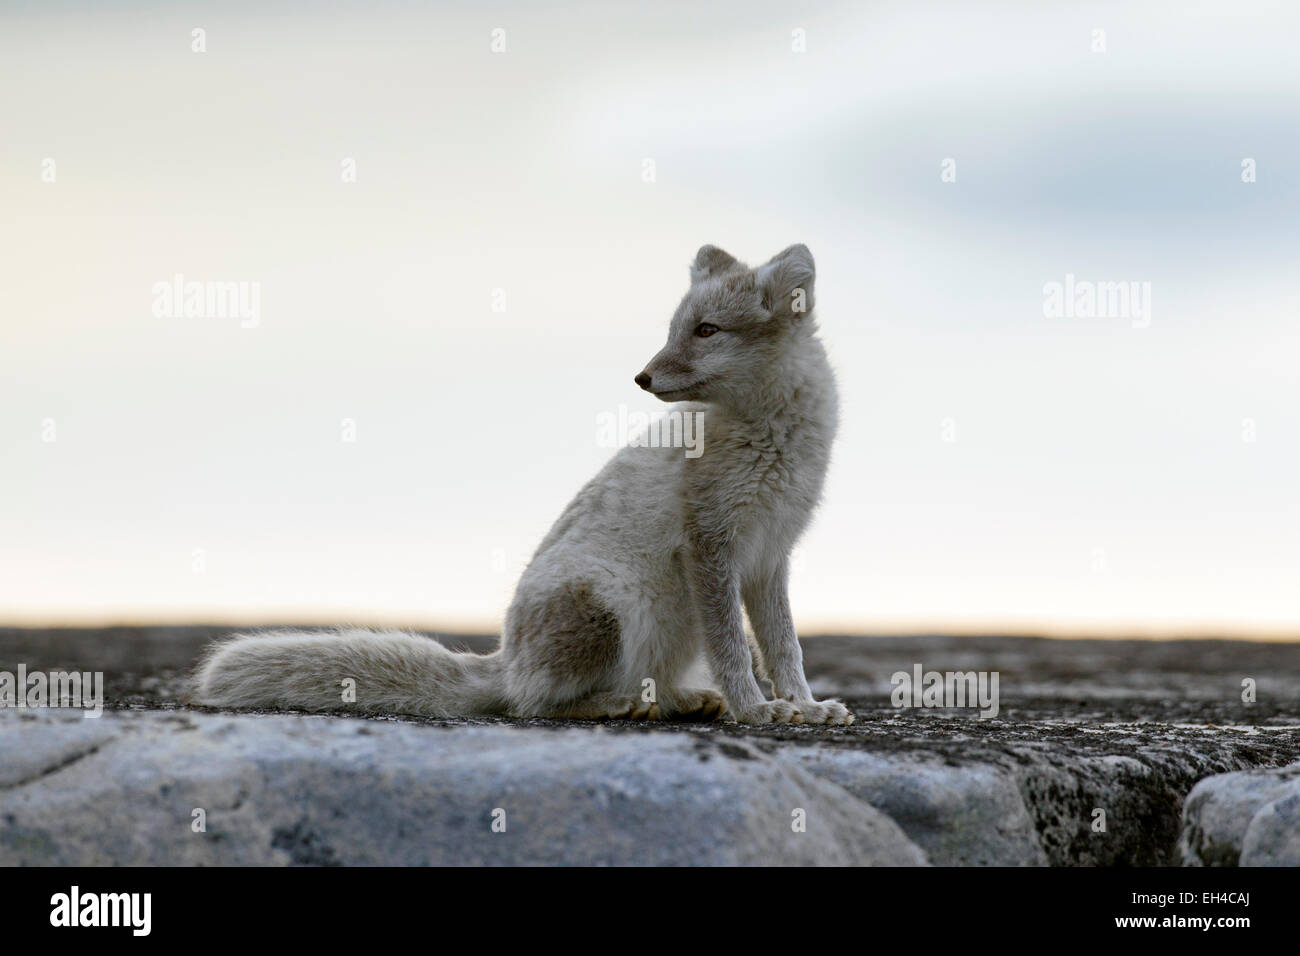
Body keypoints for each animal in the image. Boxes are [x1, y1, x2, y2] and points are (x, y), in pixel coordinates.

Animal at [188, 244, 847, 723]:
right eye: (674, 329)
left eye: (707, 331)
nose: (641, 377)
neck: (773, 437)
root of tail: (504, 660)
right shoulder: (710, 544)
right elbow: (734, 647)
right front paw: (757, 710)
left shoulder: (769, 556)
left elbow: (783, 645)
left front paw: (804, 705)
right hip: (607, 605)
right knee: (534, 705)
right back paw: (614, 704)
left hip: (669, 626)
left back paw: (679, 699)